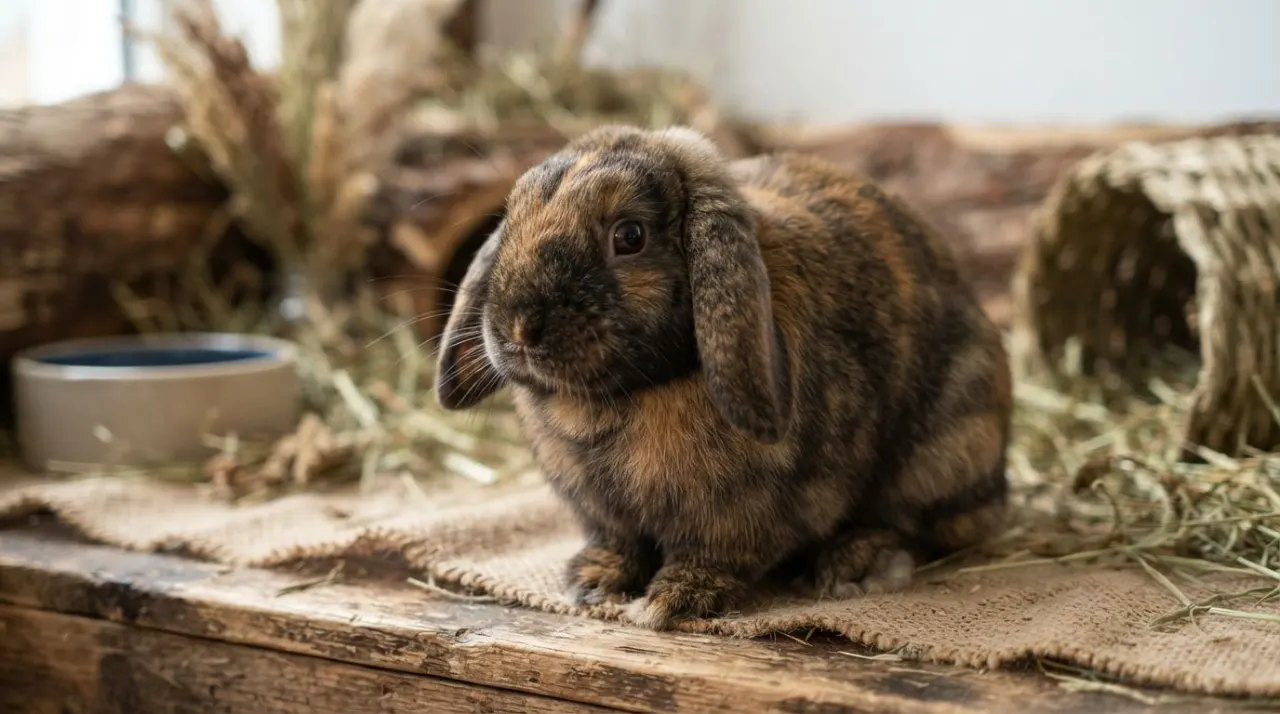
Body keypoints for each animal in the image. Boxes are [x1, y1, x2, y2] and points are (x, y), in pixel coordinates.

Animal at [433, 124, 1013, 630]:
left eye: (629, 236)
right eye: (512, 219)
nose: (520, 328)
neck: (628, 395)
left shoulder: (746, 514)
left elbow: (716, 555)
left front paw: (673, 600)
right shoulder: (605, 514)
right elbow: (618, 543)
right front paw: (593, 583)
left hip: (943, 450)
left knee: (923, 524)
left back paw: (858, 564)